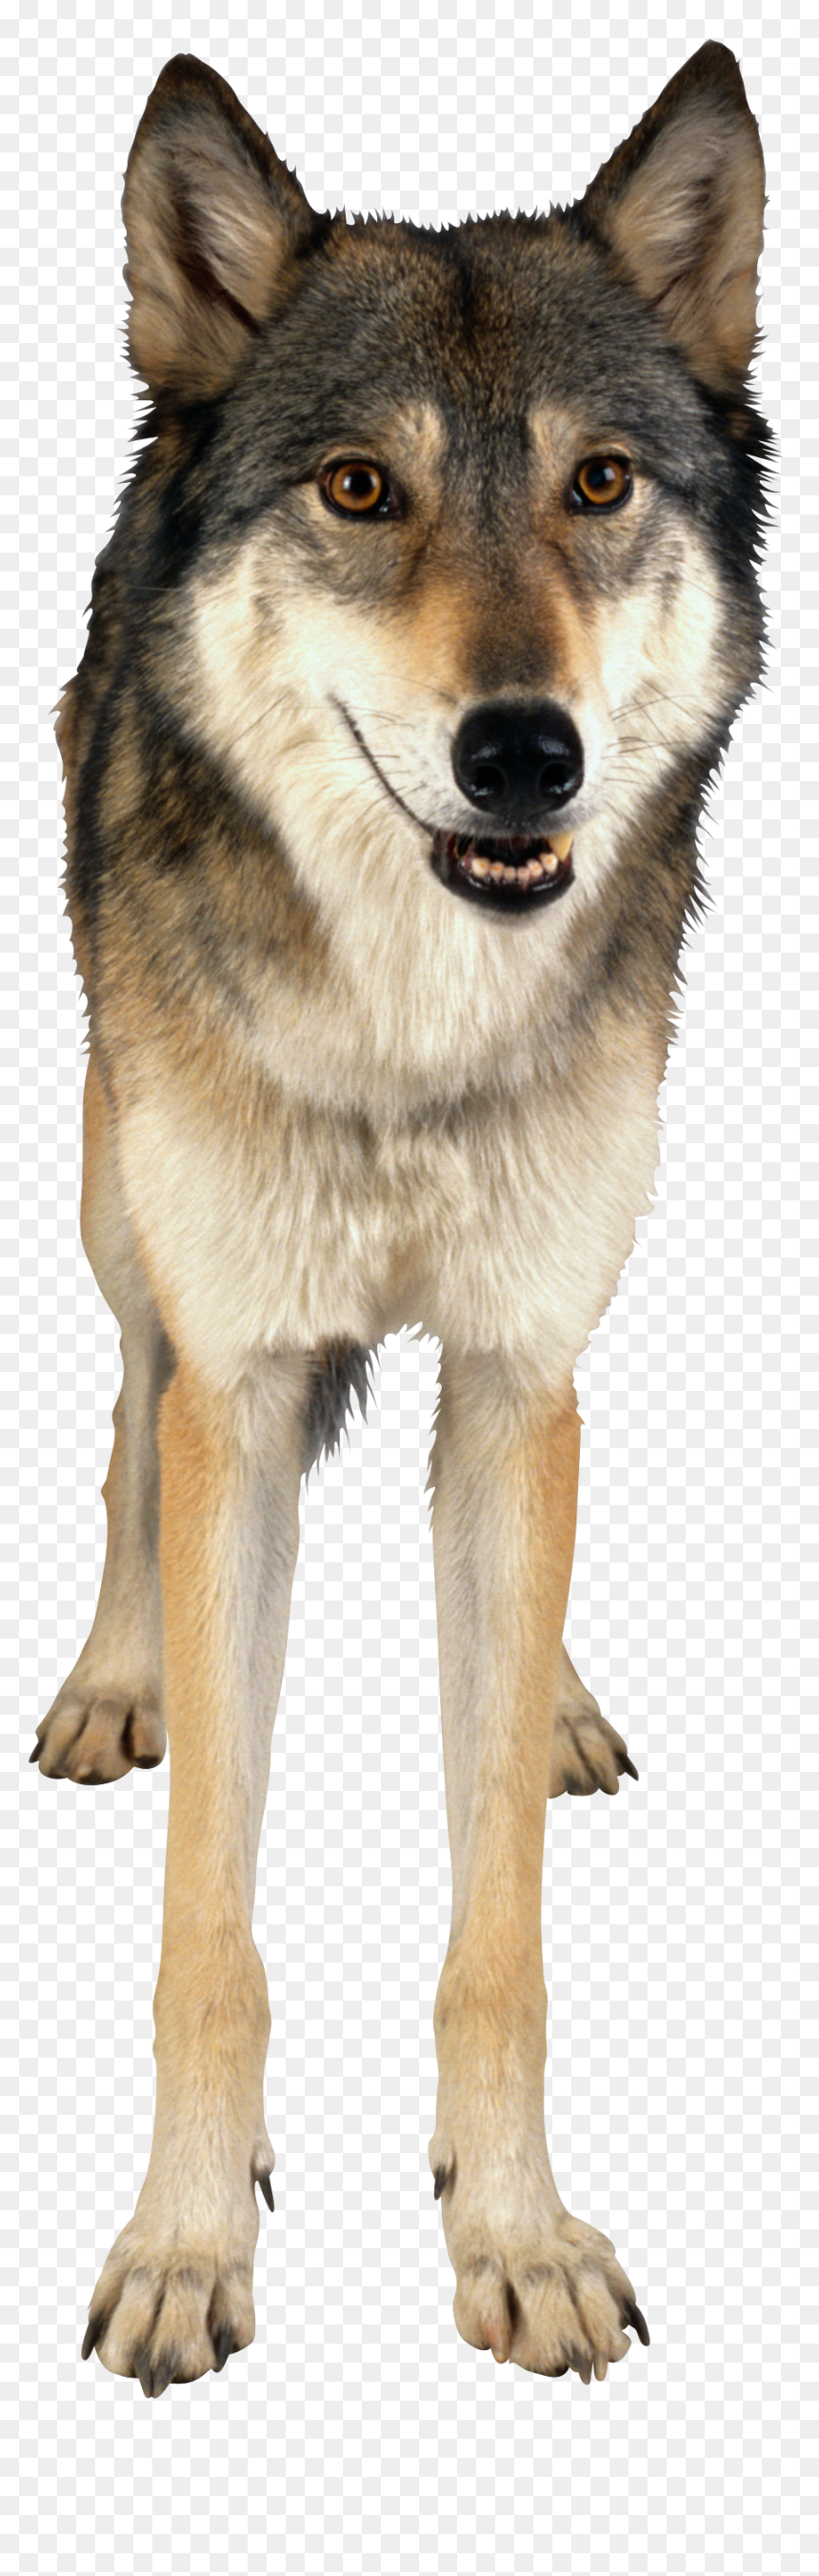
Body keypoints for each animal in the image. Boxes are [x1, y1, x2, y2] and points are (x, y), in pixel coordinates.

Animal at [32, 43, 770, 2392]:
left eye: (600, 482)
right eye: (362, 490)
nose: (524, 752)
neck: (412, 1032)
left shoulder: (524, 1354)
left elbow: (499, 1920)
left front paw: (513, 2233)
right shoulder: (248, 1370)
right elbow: (207, 1921)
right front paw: (185, 2244)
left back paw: (552, 1693)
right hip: (116, 1201)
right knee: (122, 1414)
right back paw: (117, 1671)